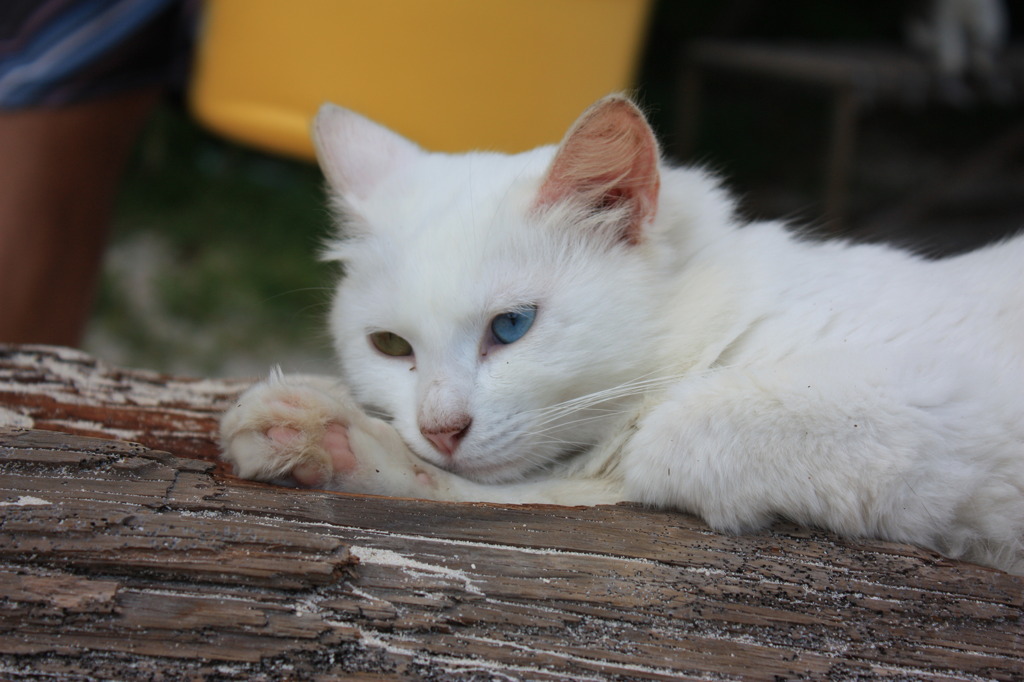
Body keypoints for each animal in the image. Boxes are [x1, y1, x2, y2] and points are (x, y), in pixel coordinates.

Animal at [222, 94, 1024, 573]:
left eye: (511, 327)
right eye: (390, 347)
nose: (442, 428)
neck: (722, 317)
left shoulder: (946, 411)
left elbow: (660, 445)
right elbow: (519, 493)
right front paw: (338, 445)